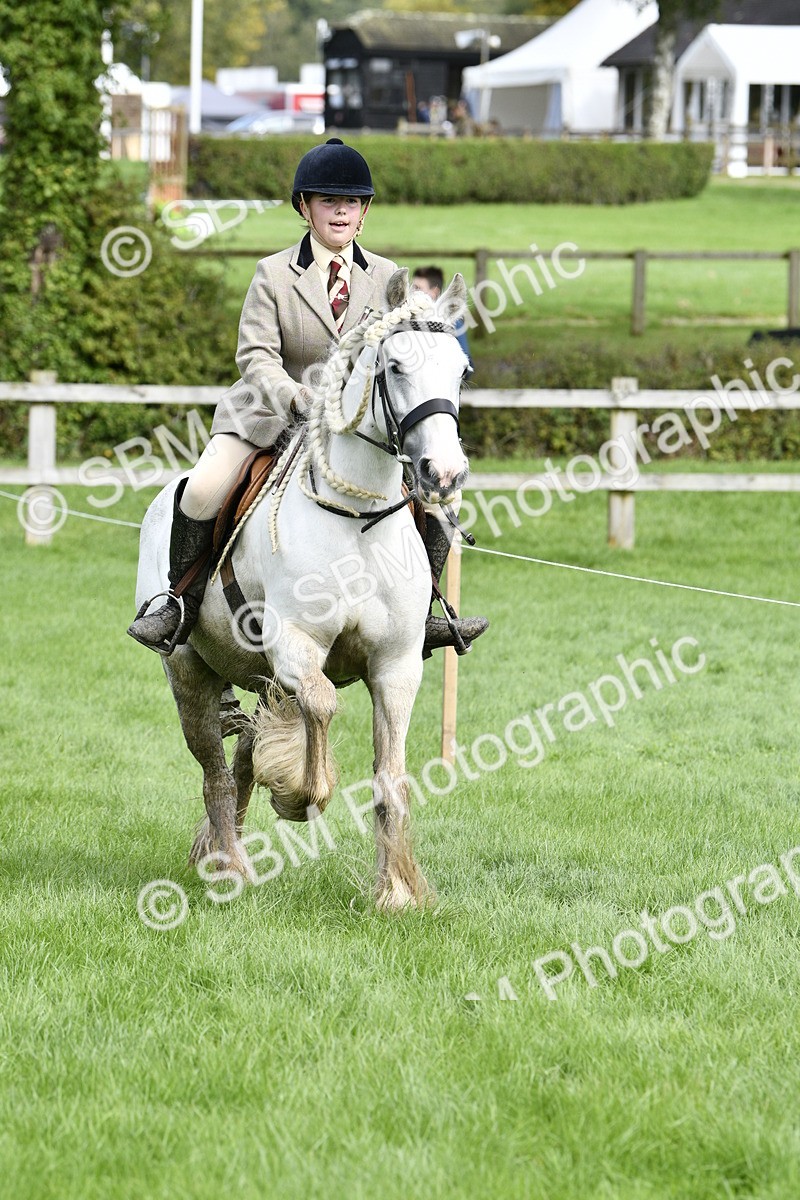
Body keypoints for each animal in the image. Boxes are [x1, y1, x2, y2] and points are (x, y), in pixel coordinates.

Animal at [134, 269, 471, 910]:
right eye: (395, 366)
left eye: (461, 371)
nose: (443, 475)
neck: (358, 520)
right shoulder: (295, 645)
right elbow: (321, 702)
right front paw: (298, 793)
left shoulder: (396, 665)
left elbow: (391, 778)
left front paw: (396, 892)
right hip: (189, 673)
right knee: (215, 772)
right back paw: (230, 867)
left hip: (257, 677)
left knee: (242, 755)